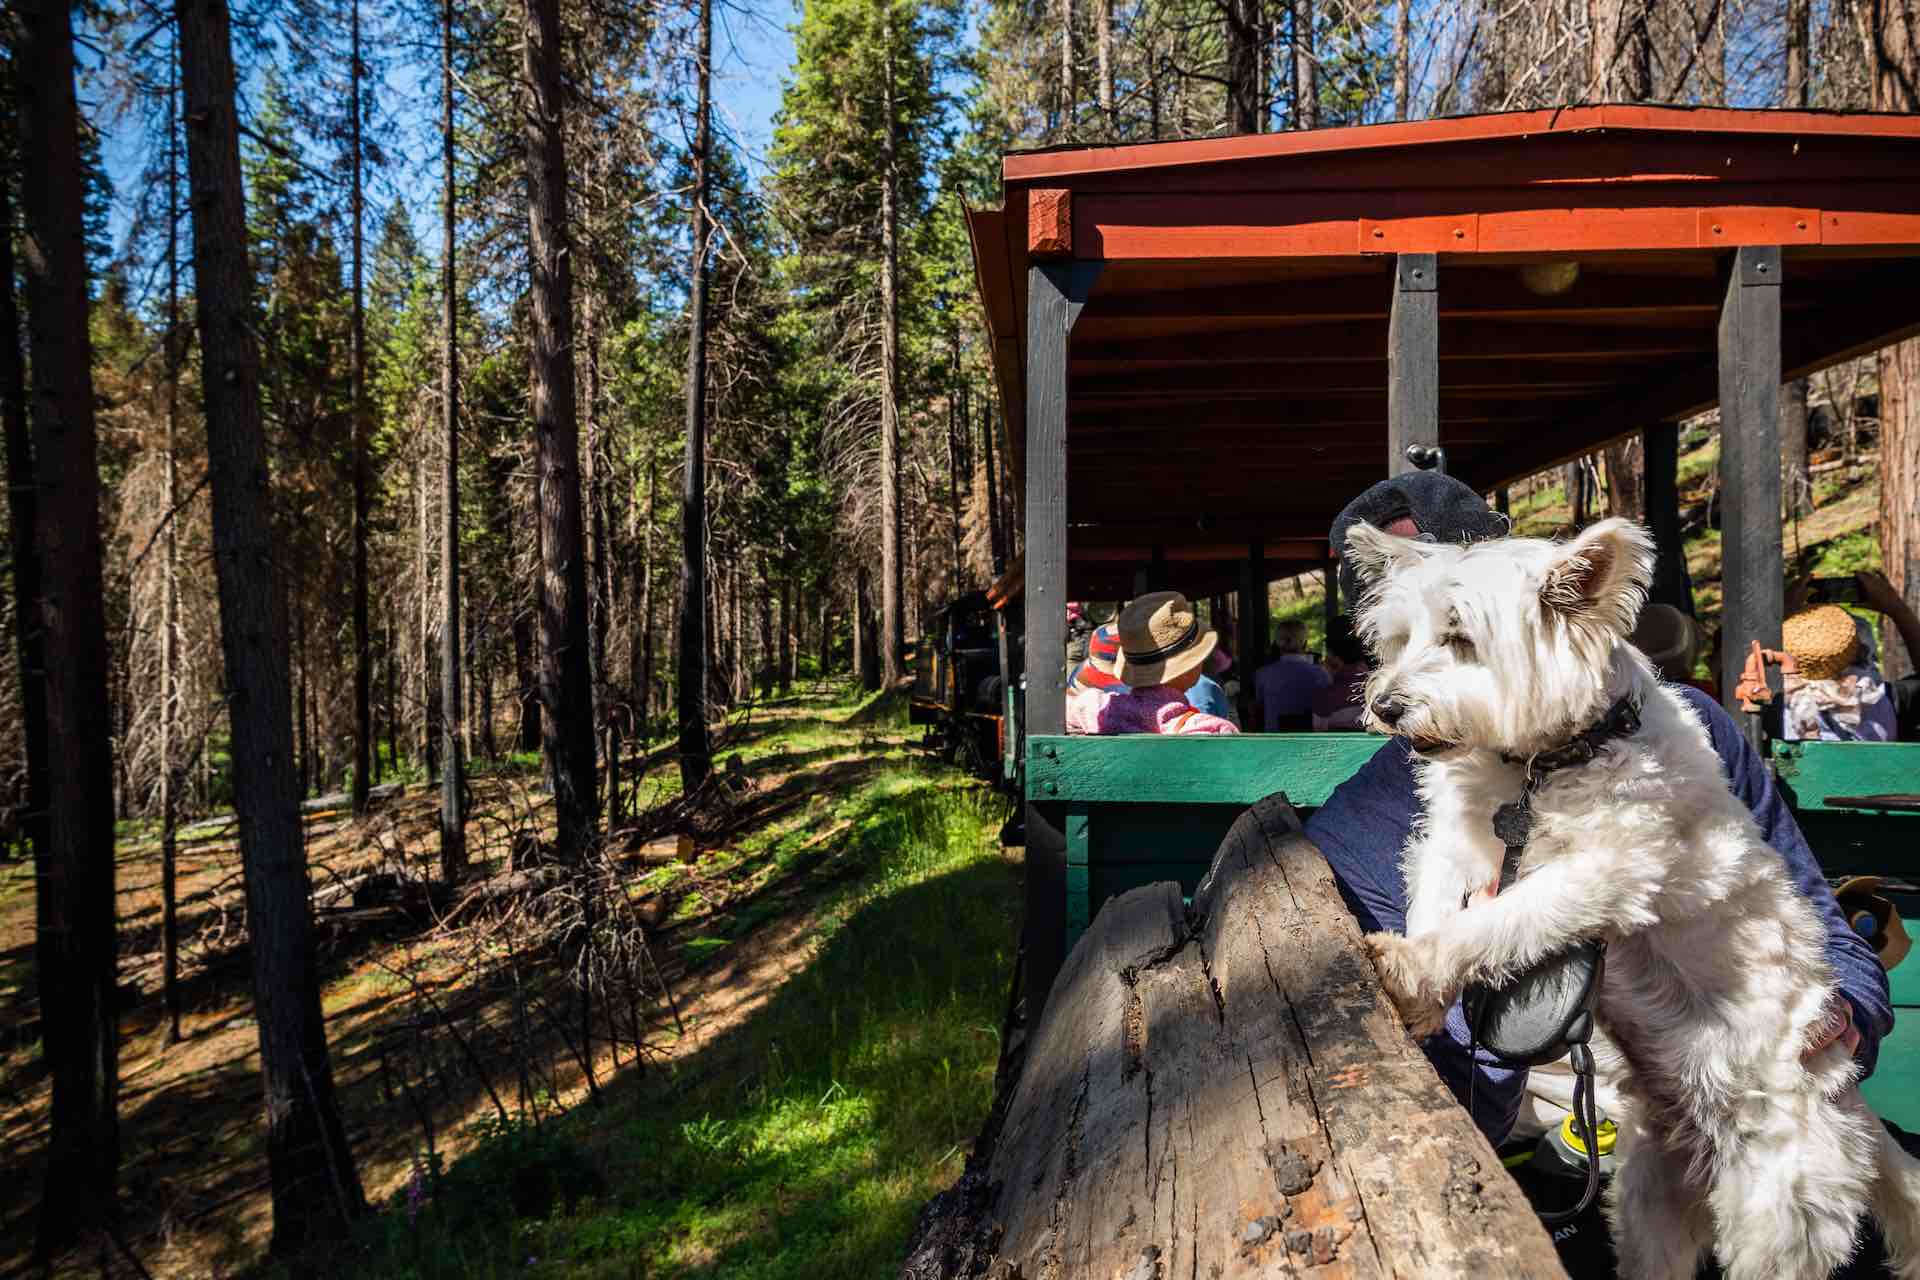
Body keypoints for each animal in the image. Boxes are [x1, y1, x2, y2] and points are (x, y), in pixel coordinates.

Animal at [1344, 514, 1920, 1274]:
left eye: (1461, 638)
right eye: (1399, 638)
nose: (1384, 706)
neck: (1541, 765)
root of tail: (1852, 1104)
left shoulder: (1610, 868)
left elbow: (1504, 919)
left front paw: (1414, 970)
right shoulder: (1447, 839)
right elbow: (1435, 904)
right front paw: (1422, 992)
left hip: (1780, 1211)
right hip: (1650, 1201)